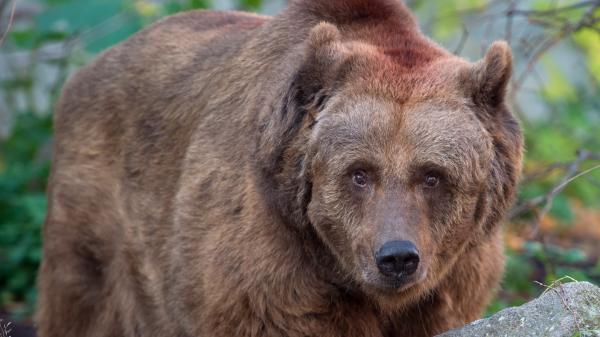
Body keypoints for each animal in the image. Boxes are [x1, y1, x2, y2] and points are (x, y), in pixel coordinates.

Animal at [37, 0, 524, 336]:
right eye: (359, 173)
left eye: (432, 175)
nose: (397, 257)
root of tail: (86, 70)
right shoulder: (268, 269)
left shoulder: (454, 282)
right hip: (98, 221)